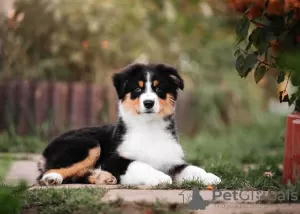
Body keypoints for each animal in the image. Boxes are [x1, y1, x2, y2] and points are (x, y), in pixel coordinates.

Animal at [36, 62, 221, 186]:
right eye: (138, 89)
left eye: (158, 88)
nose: (148, 103)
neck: (149, 128)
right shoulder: (114, 160)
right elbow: (138, 163)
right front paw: (159, 177)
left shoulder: (172, 161)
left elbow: (192, 168)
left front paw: (210, 177)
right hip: (89, 144)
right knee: (48, 172)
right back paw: (52, 178)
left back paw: (104, 177)